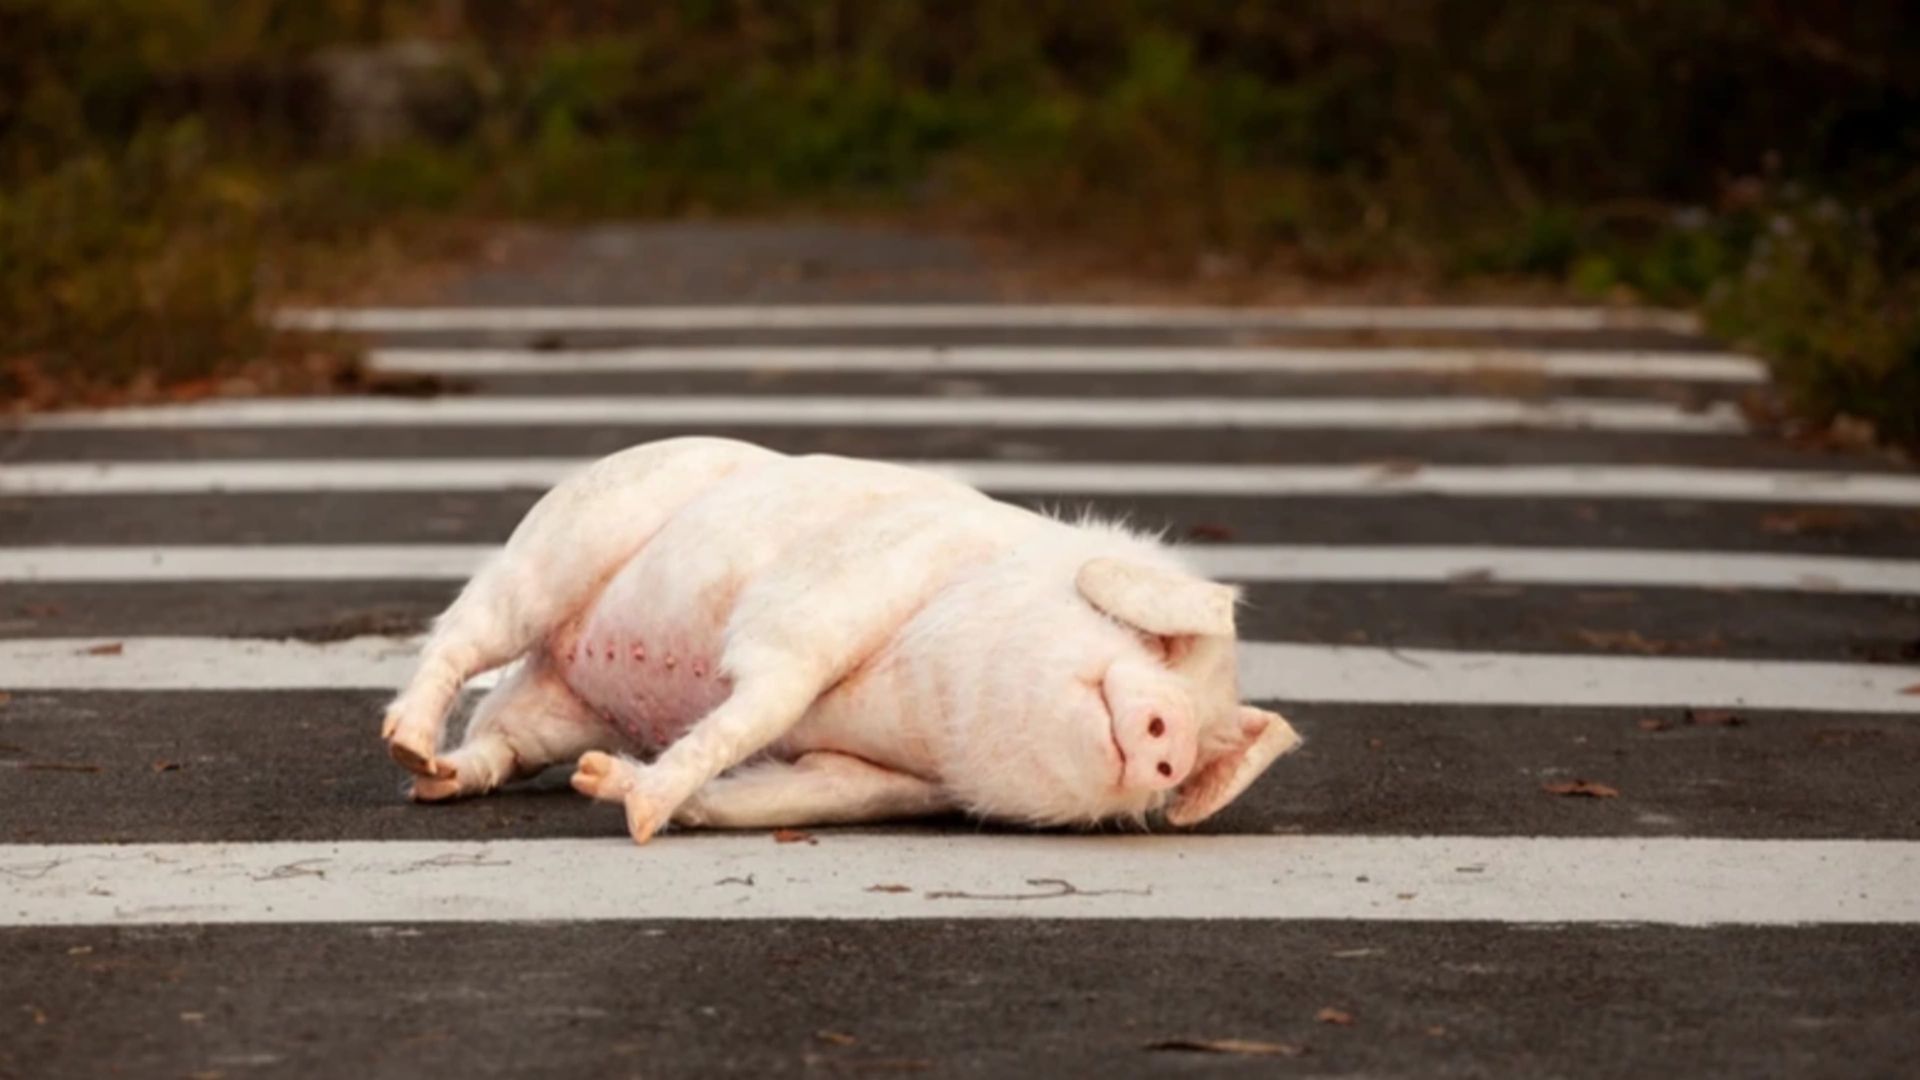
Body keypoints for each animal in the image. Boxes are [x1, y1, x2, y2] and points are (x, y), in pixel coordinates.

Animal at [380, 432, 1297, 837]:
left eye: (1211, 739)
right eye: (1163, 646)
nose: (1175, 737)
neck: (928, 704)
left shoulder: (890, 781)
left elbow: (789, 792)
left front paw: (609, 787)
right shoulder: (827, 600)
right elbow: (763, 699)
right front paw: (639, 816)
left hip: (556, 706)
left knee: (502, 741)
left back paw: (437, 780)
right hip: (557, 547)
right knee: (459, 636)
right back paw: (406, 744)